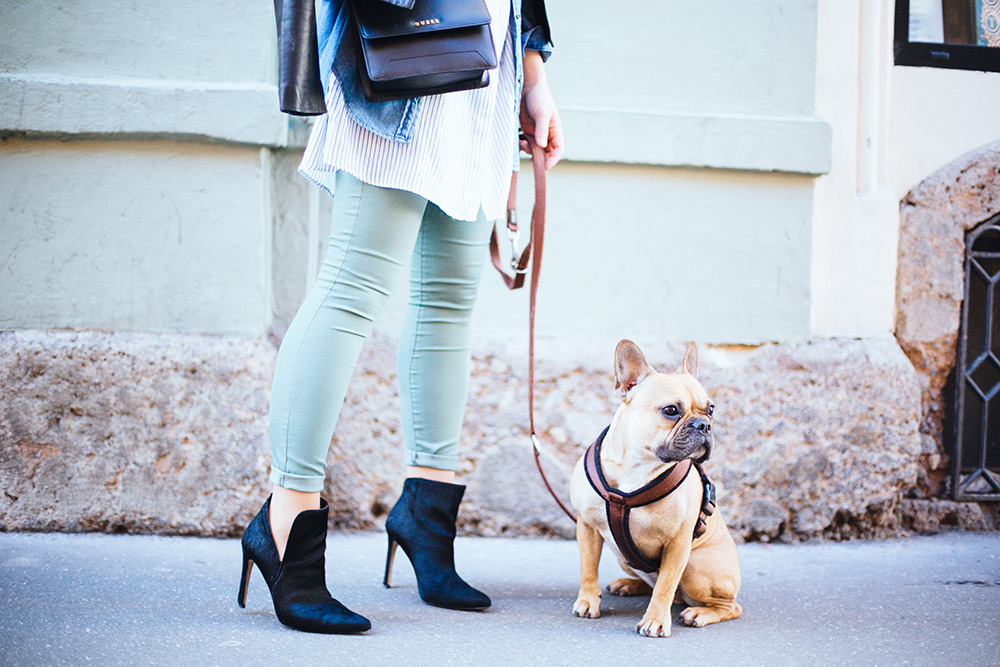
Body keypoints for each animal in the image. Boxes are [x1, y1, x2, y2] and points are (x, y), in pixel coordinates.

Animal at [568, 342, 740, 640]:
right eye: (670, 410)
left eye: (711, 409)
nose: (704, 425)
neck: (637, 464)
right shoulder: (587, 527)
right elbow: (588, 568)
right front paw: (588, 601)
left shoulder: (678, 543)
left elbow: (665, 586)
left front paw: (656, 621)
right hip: (626, 559)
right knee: (653, 582)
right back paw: (628, 584)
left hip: (695, 567)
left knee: (726, 605)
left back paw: (699, 613)